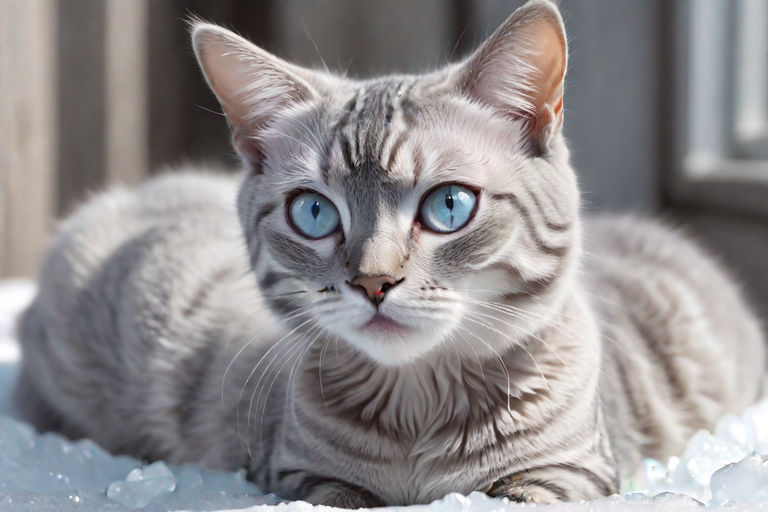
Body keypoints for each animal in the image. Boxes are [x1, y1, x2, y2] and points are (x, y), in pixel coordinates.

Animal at [15, 0, 764, 504]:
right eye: (314, 212)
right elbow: (337, 495)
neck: (418, 411)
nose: (373, 282)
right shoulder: (296, 475)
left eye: (449, 206)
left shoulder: (571, 474)